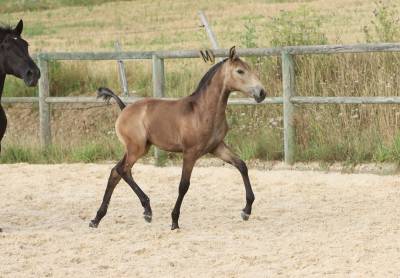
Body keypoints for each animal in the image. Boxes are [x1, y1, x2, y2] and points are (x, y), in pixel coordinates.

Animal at [90, 46, 266, 230]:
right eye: (240, 71)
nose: (262, 93)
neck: (202, 111)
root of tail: (124, 109)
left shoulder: (217, 147)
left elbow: (242, 166)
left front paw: (246, 210)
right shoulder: (190, 152)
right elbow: (184, 185)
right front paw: (174, 220)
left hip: (139, 148)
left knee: (116, 172)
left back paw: (97, 218)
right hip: (136, 149)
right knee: (122, 170)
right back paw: (146, 210)